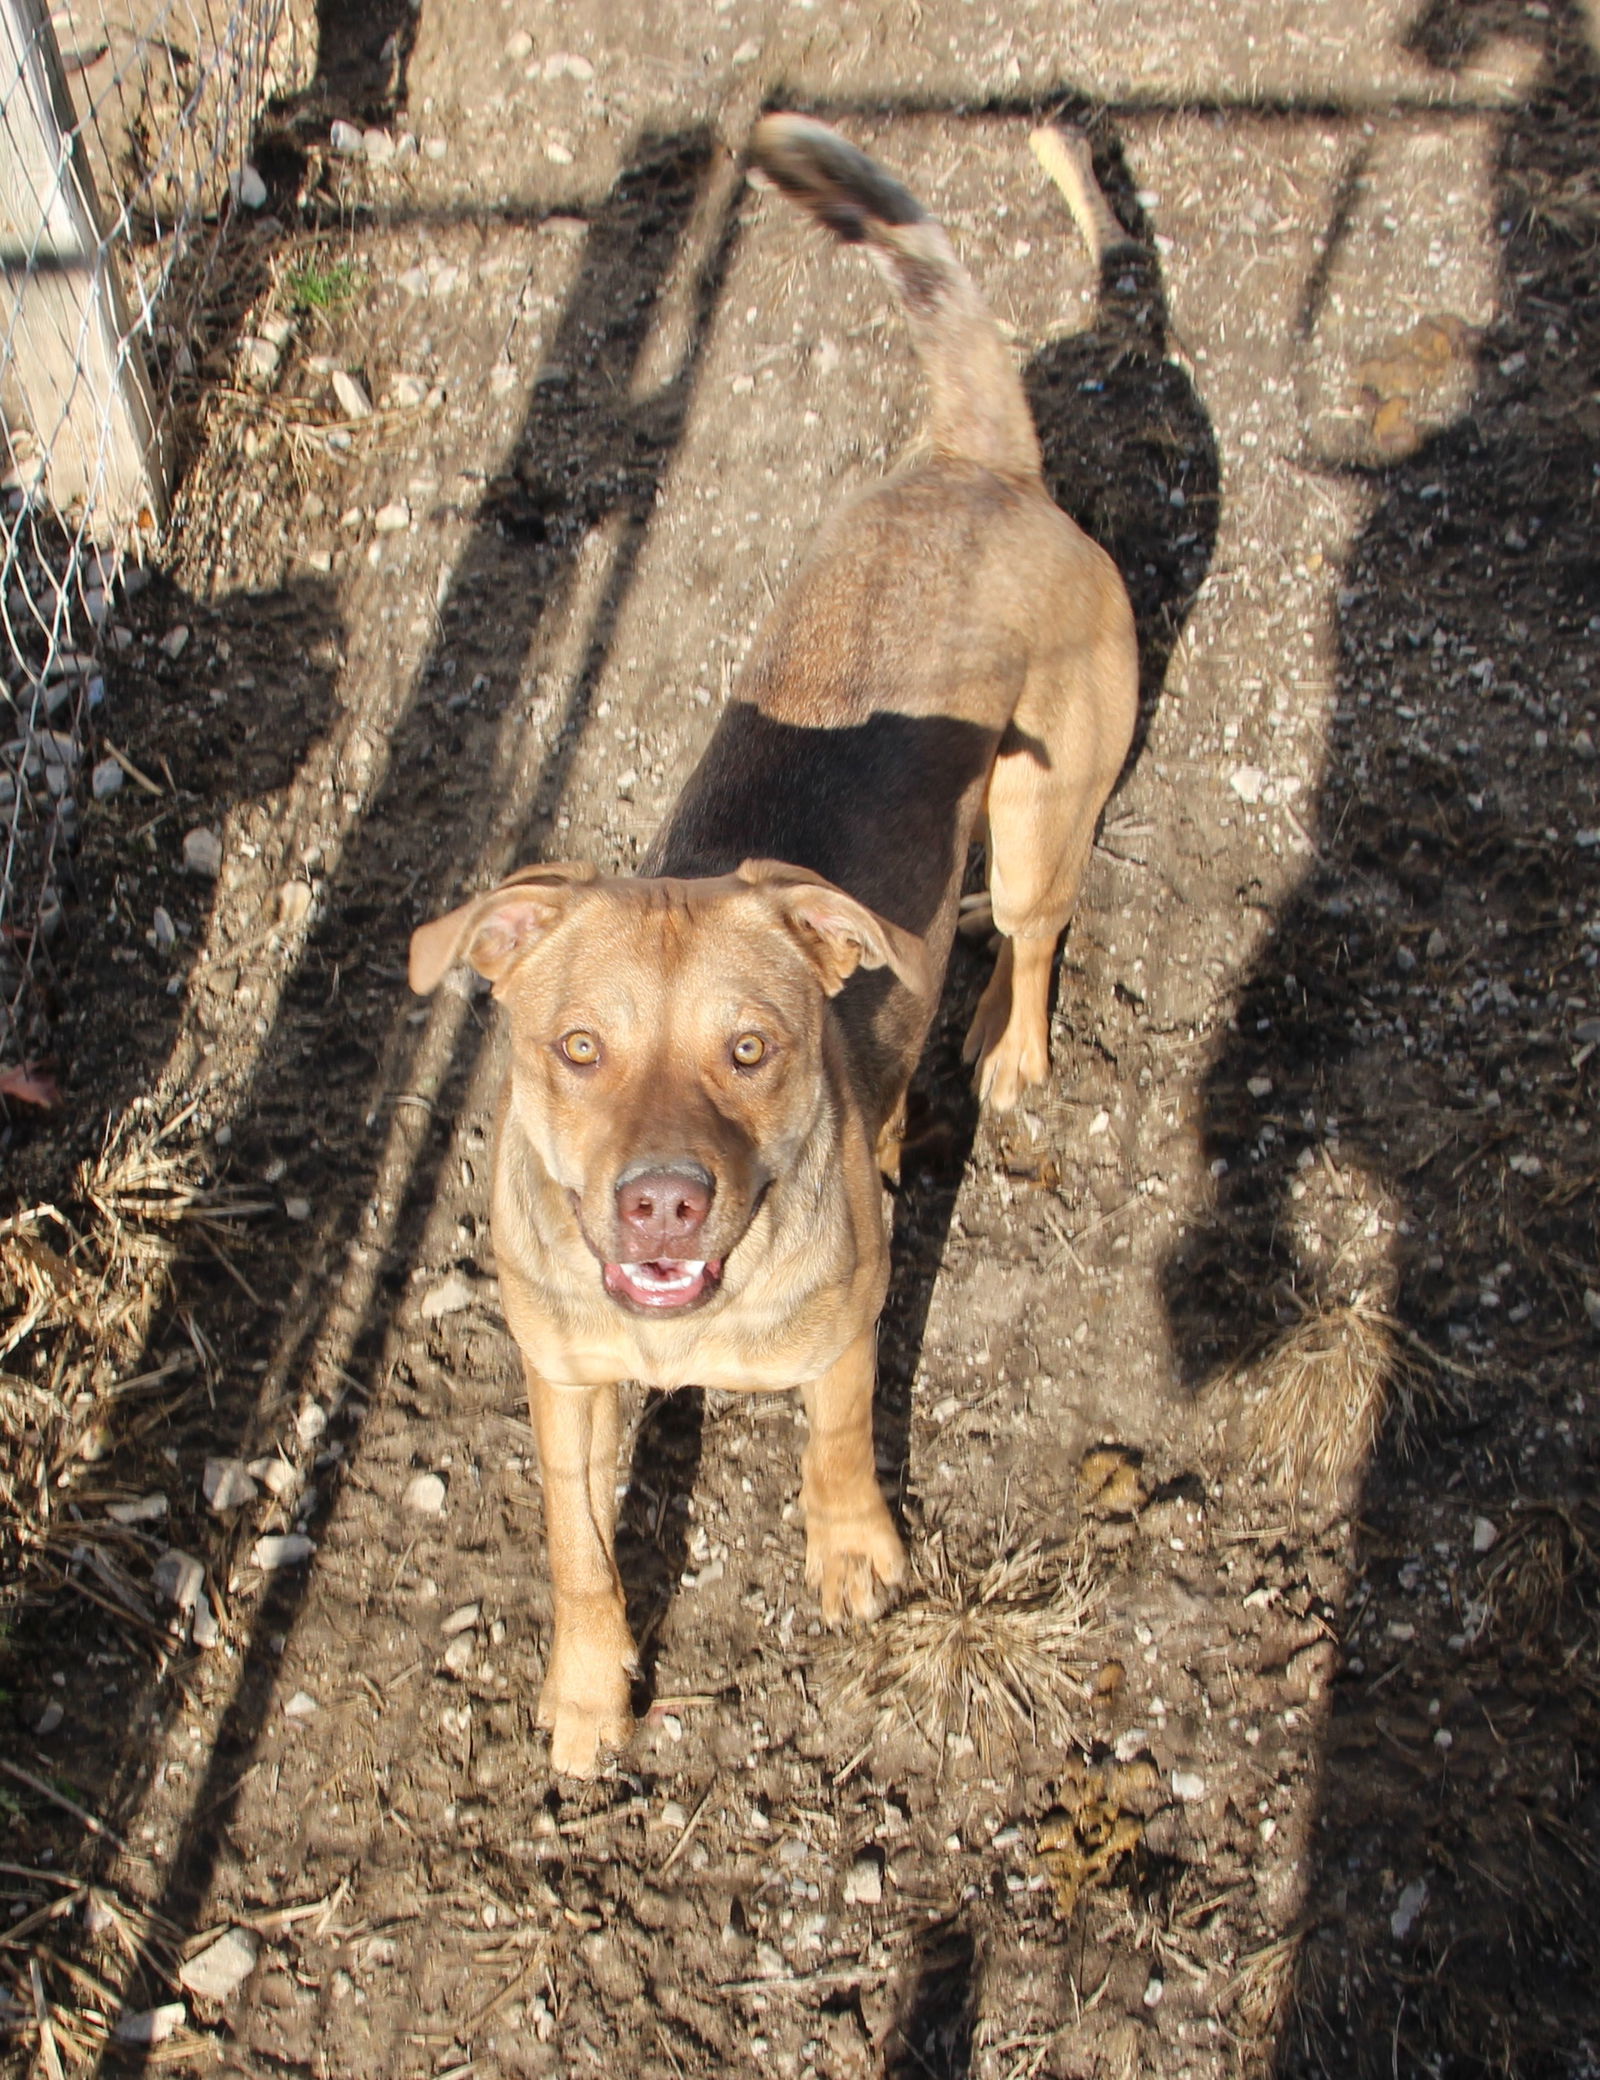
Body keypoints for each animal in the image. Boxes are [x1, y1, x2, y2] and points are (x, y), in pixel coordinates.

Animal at [411, 113, 1131, 1772]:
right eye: (578, 1049)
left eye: (752, 1049)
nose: (665, 1203)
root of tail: (973, 463)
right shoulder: (566, 1387)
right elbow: (580, 1549)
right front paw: (588, 1690)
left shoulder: (842, 1339)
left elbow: (840, 1443)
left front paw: (853, 1550)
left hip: (1039, 817)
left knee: (1034, 938)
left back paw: (1009, 1052)